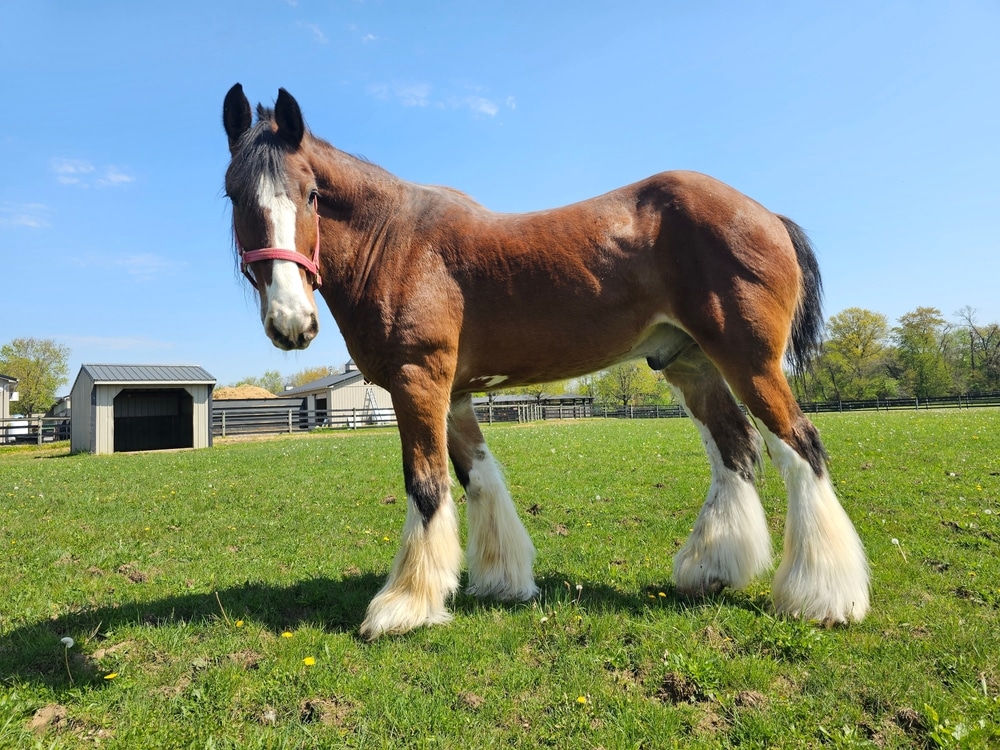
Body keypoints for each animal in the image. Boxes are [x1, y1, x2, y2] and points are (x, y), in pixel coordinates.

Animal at [221, 85, 868, 644]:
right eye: (233, 195)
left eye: (310, 194)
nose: (291, 322)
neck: (398, 242)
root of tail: (766, 214)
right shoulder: (454, 394)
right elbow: (480, 479)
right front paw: (500, 581)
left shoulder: (418, 382)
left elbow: (427, 485)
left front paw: (404, 605)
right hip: (691, 364)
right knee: (736, 449)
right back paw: (711, 570)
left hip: (748, 361)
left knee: (800, 447)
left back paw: (823, 596)